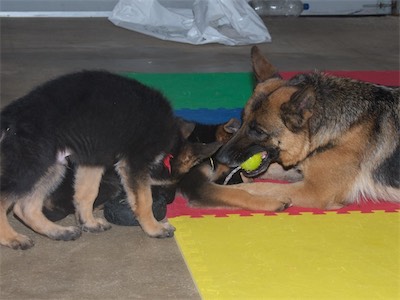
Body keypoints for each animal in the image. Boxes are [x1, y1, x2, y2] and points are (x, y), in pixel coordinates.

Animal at [0, 69, 219, 248]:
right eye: (173, 181)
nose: (170, 199)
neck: (169, 143)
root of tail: (11, 115)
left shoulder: (93, 161)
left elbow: (86, 193)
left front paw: (89, 222)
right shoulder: (135, 163)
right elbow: (144, 200)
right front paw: (154, 228)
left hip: (53, 167)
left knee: (24, 207)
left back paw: (59, 232)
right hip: (33, 165)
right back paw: (12, 238)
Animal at [183, 47, 398, 211]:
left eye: (258, 131)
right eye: (243, 121)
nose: (220, 158)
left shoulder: (315, 191)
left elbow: (263, 187)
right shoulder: (299, 170)